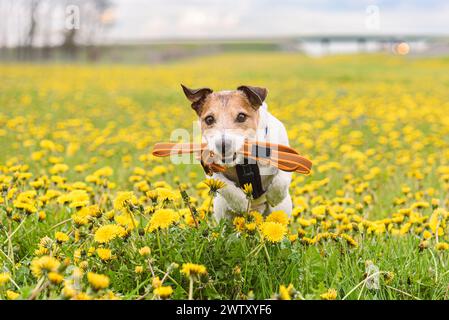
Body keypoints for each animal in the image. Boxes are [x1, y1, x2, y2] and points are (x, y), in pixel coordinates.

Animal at [180, 85, 292, 220]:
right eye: (209, 119)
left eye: (241, 116)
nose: (223, 145)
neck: (243, 162)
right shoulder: (211, 171)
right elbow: (226, 186)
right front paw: (241, 204)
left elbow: (282, 178)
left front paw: (274, 197)